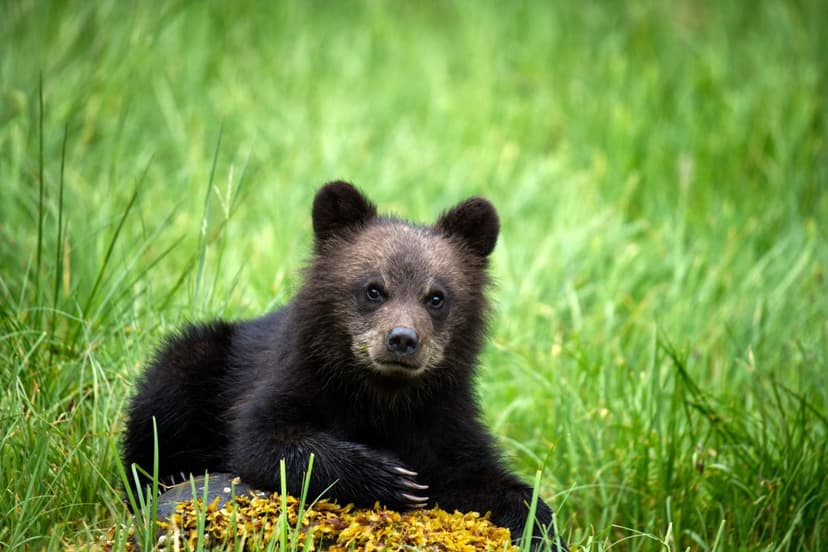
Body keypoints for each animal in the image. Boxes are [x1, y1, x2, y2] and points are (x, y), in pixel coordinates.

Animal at [122, 181, 567, 550]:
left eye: (437, 297)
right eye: (373, 289)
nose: (402, 339)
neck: (382, 393)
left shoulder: (440, 412)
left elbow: (474, 472)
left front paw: (537, 524)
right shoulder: (293, 377)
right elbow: (265, 439)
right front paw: (390, 476)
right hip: (198, 356)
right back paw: (170, 474)